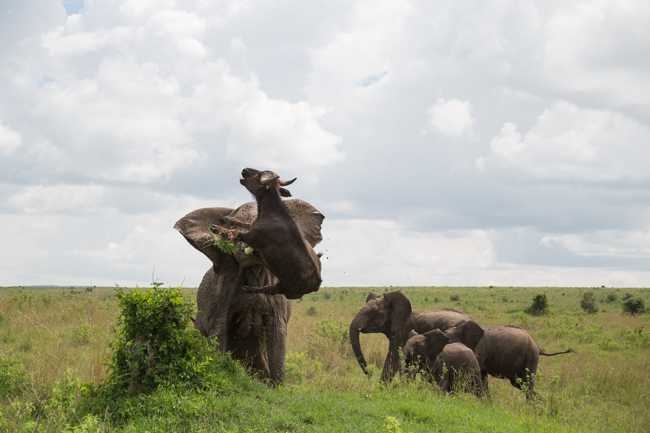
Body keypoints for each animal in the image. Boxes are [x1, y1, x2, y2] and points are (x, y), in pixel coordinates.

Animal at [444, 320, 573, 399]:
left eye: (449, 339)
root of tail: (538, 347)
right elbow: (483, 377)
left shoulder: (481, 350)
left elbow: (479, 375)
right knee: (521, 384)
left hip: (531, 358)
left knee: (527, 384)